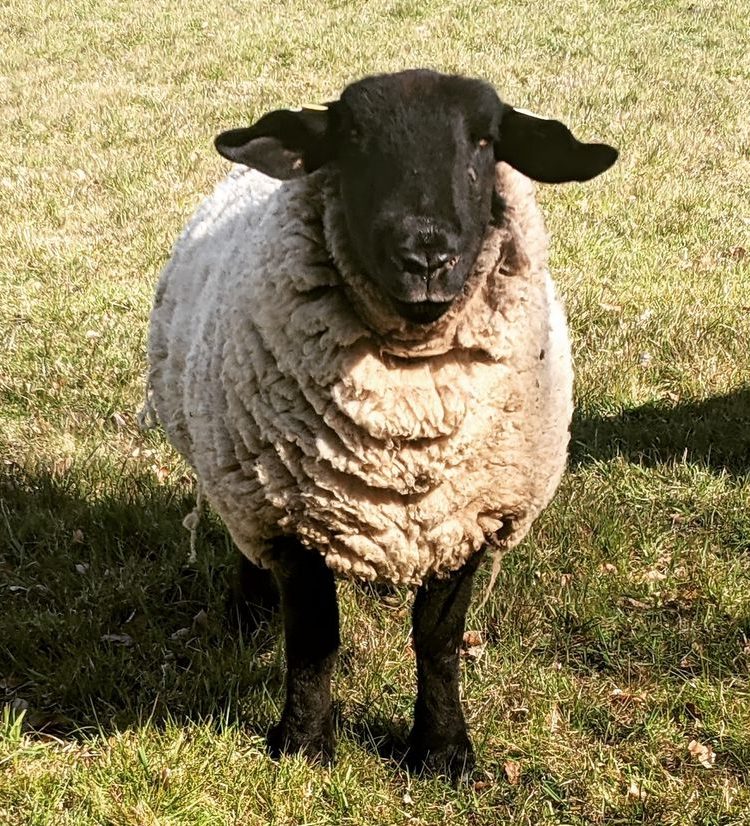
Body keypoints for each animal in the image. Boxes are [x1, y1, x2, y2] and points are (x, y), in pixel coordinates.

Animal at [147, 69, 617, 777]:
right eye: (353, 138)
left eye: (486, 140)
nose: (426, 256)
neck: (407, 421)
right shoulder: (291, 518)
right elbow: (314, 637)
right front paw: (304, 744)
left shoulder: (468, 519)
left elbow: (438, 639)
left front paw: (444, 750)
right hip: (237, 473)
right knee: (246, 549)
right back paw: (248, 616)